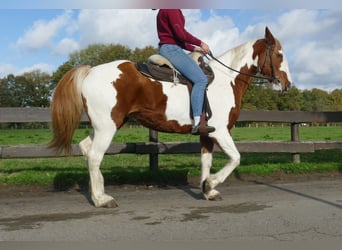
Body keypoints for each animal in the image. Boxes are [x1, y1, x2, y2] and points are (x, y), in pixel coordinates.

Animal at [50, 26, 292, 207]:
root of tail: (90, 71)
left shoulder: (207, 134)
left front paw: (207, 190)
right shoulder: (221, 132)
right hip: (107, 128)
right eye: (279, 54)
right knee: (94, 156)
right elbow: (236, 158)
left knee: (86, 148)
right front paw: (210, 184)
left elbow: (206, 161)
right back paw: (102, 199)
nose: (287, 84)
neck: (227, 80)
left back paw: (97, 192)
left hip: (106, 126)